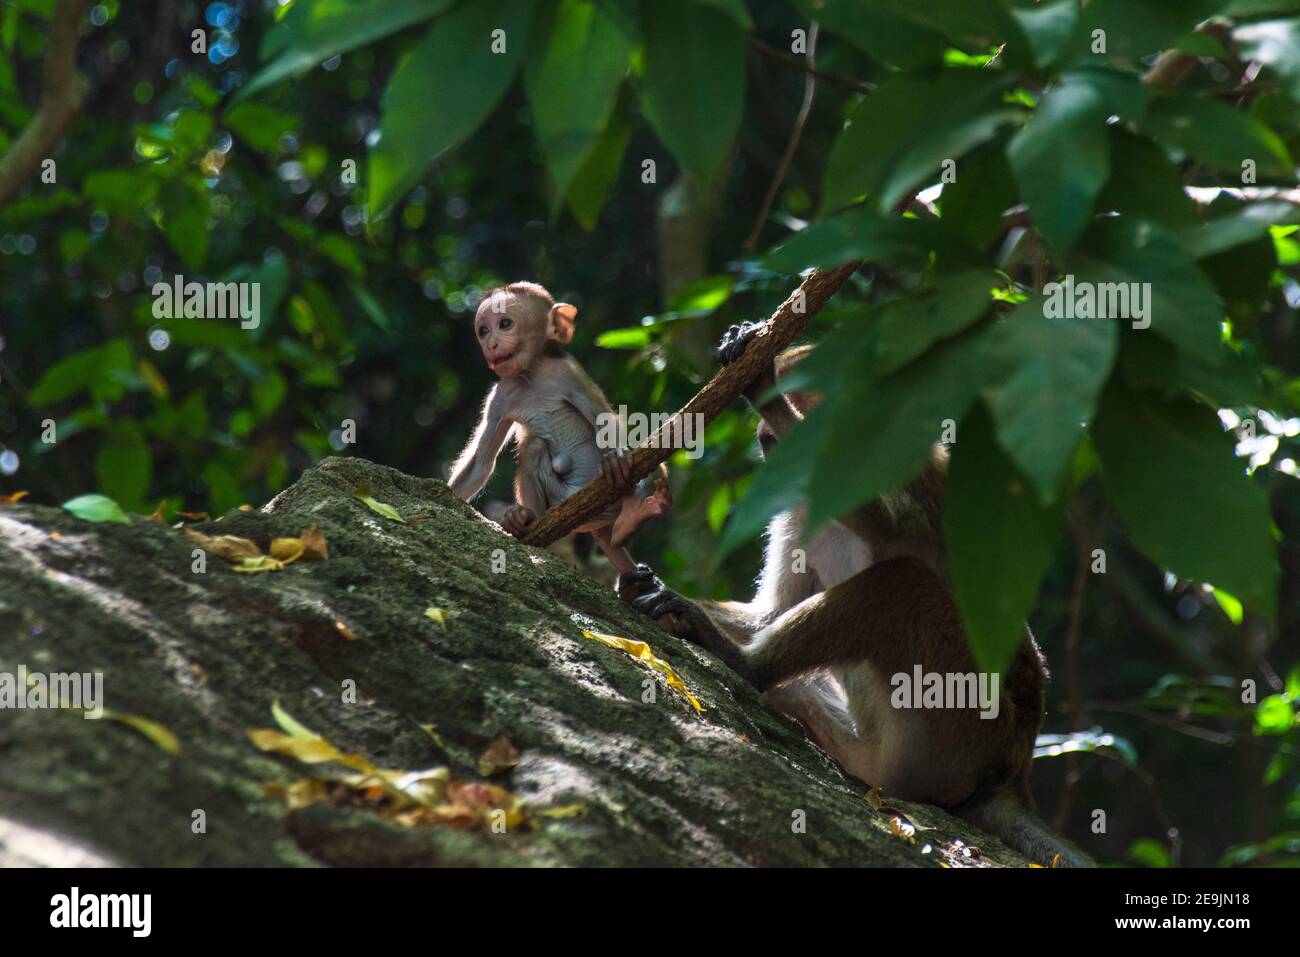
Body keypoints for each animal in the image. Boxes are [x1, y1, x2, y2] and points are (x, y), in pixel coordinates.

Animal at [449, 280, 670, 572]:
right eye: (483, 331)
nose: (491, 343)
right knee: (533, 447)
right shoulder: (499, 397)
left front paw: (616, 458)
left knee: (654, 467)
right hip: (559, 499)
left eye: (505, 323)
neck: (531, 376)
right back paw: (525, 519)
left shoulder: (568, 373)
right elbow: (481, 465)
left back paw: (634, 513)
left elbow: (605, 418)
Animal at [616, 321, 1086, 868]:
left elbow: (891, 526)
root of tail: (1011, 774)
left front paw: (760, 382)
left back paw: (741, 664)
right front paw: (643, 584)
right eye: (769, 444)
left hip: (958, 718)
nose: (772, 451)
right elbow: (772, 612)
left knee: (901, 582)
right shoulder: (799, 510)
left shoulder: (907, 468)